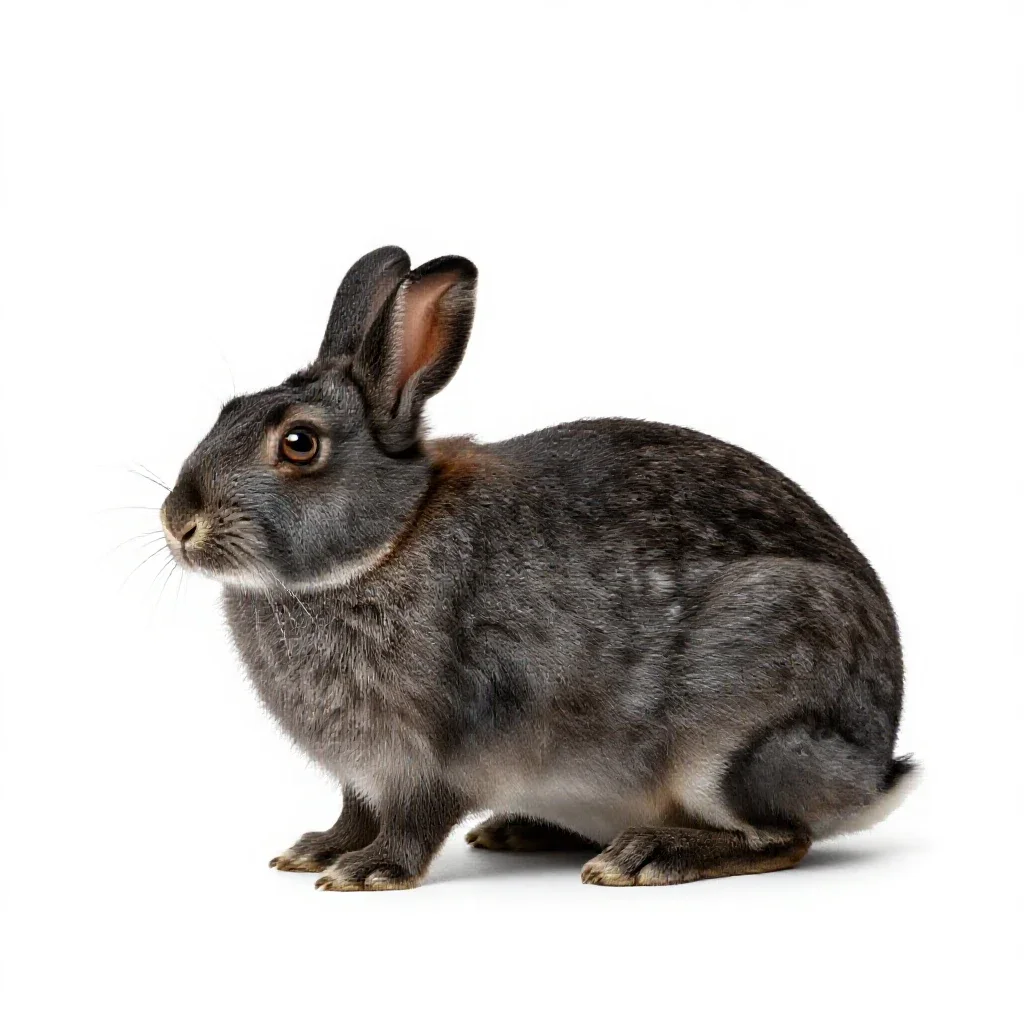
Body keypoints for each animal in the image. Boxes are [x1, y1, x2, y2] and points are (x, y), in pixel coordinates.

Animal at [160, 245, 917, 890]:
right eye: (227, 411)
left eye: (298, 443)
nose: (178, 523)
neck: (391, 537)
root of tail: (874, 772)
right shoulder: (362, 771)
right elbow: (355, 809)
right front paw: (316, 849)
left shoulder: (437, 749)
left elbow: (414, 818)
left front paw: (369, 870)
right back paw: (523, 831)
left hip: (740, 736)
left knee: (782, 837)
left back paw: (646, 856)